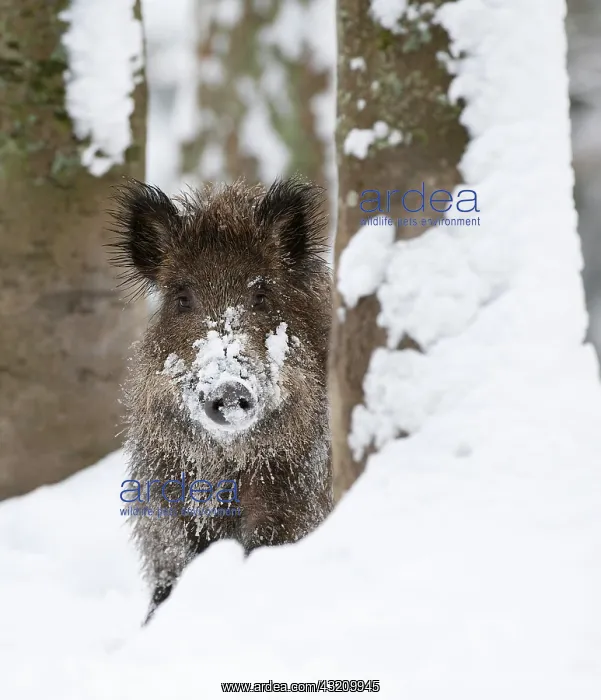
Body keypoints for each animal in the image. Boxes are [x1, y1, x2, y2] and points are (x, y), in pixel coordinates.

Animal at [110, 176, 333, 621]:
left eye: (261, 295)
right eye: (182, 298)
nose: (229, 389)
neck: (222, 465)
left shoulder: (292, 496)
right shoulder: (166, 505)